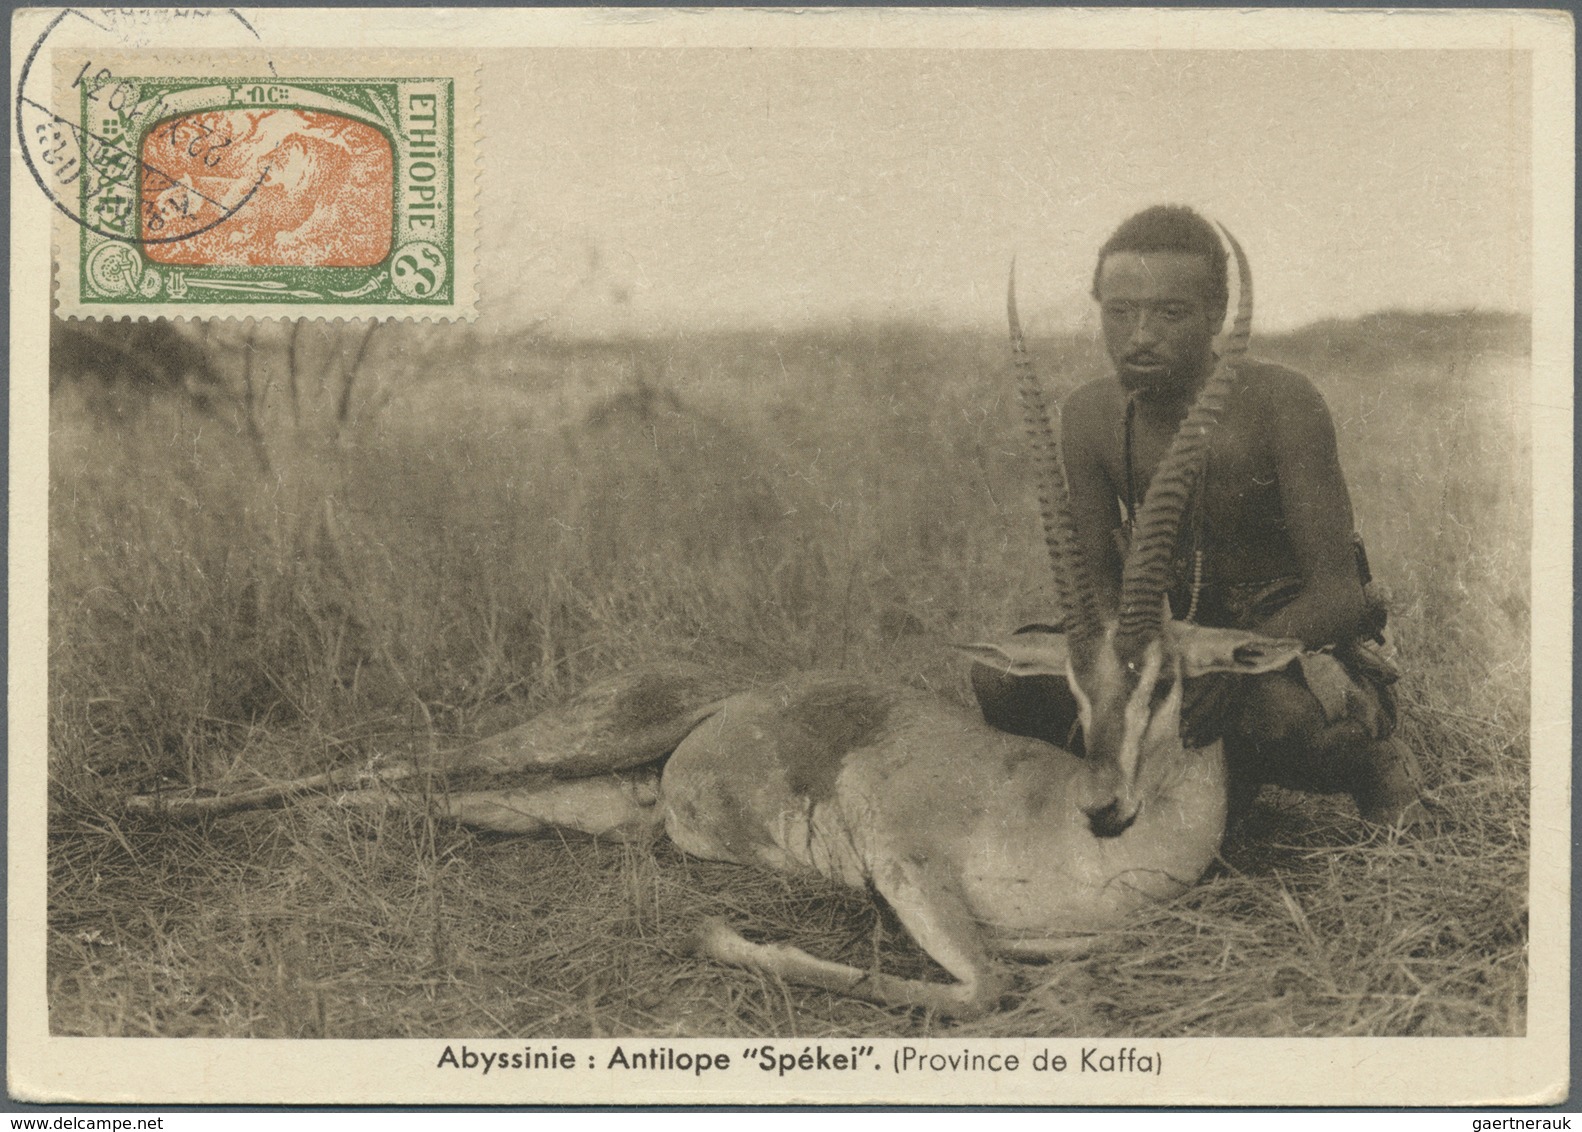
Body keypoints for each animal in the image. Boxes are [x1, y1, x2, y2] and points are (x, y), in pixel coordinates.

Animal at [129, 222, 1303, 1018]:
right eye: (1069, 680)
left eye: (1166, 676)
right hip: (571, 743)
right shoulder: (904, 857)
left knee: (418, 794)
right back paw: (155, 805)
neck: (1066, 839)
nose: (1107, 806)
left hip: (577, 805)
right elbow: (984, 987)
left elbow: (1020, 970)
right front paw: (721, 939)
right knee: (390, 762)